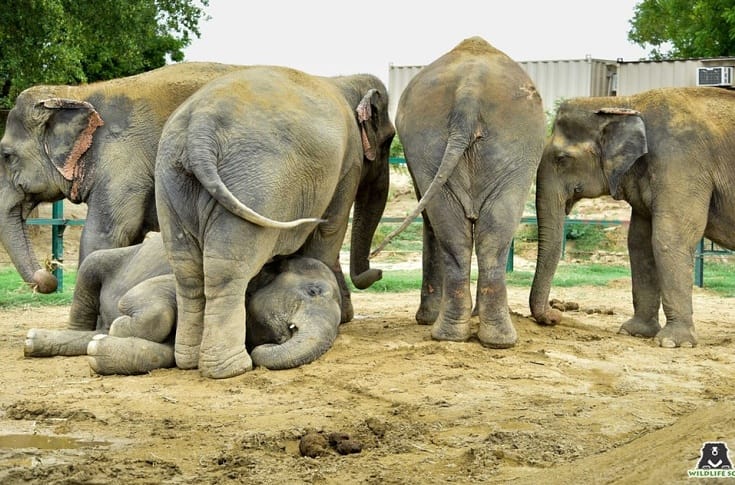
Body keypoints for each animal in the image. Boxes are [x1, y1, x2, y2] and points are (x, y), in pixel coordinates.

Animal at [24, 233, 343, 373]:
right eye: (313, 291)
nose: (260, 351)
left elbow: (168, 353)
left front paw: (100, 349)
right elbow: (155, 295)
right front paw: (120, 326)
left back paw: (41, 341)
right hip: (107, 260)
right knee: (91, 269)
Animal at [154, 65, 395, 379]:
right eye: (389, 140)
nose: (378, 271)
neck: (344, 81)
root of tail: (199, 131)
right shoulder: (348, 163)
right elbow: (329, 230)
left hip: (172, 183)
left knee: (187, 271)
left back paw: (188, 361)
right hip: (255, 184)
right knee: (227, 269)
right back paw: (232, 368)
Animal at [371, 37, 545, 348]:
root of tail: (469, 90)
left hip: (483, 145)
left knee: (475, 235)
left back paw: (471, 337)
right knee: (478, 235)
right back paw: (473, 336)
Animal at [529, 87, 735, 348]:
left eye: (562, 159)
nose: (556, 314)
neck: (625, 102)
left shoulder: (682, 163)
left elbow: (669, 238)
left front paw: (673, 343)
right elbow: (639, 242)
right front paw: (634, 332)